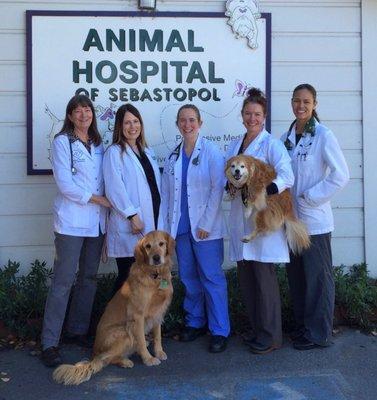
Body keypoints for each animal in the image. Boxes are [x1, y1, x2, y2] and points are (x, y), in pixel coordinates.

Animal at [53, 231, 175, 384]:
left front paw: (159, 352)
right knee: (105, 358)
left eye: (161, 244)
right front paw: (148, 359)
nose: (156, 258)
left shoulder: (157, 313)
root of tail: (94, 351)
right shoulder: (138, 316)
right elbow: (141, 340)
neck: (155, 275)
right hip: (124, 332)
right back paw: (124, 361)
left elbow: (158, 336)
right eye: (148, 246)